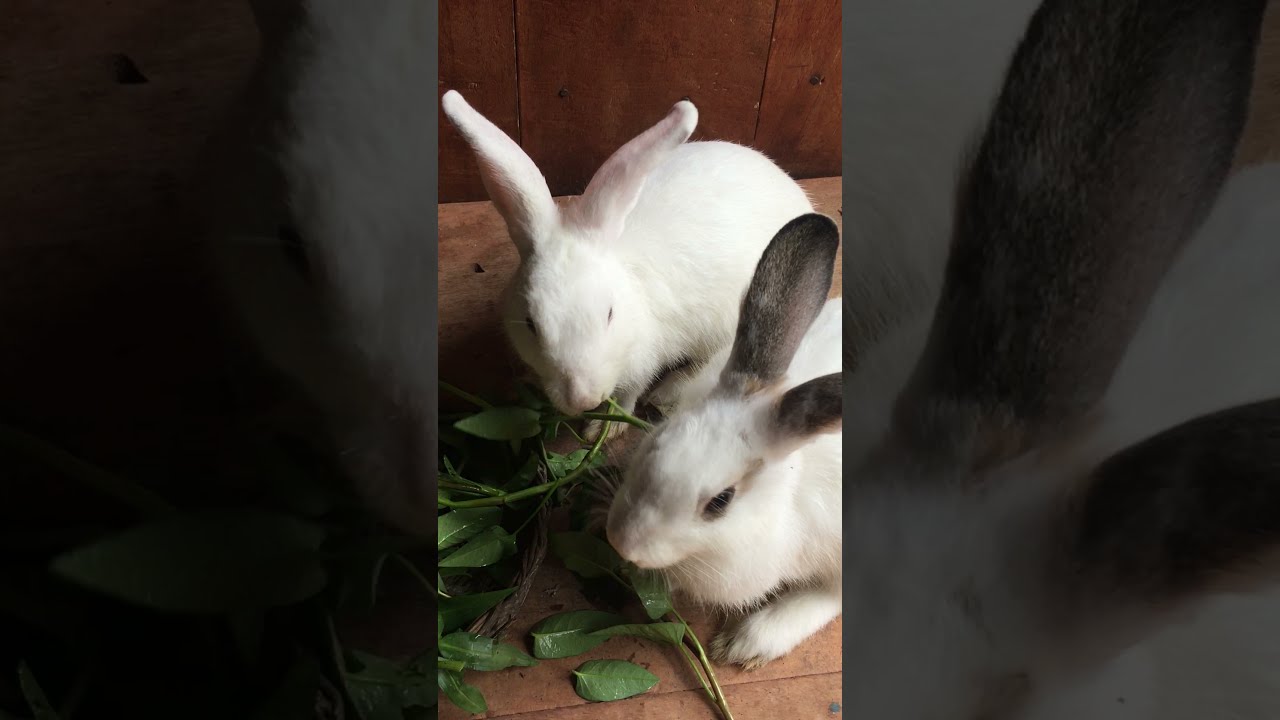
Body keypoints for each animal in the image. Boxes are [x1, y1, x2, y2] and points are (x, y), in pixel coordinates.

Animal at [440, 91, 814, 441]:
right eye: (531, 324)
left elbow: (630, 394)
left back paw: (667, 393)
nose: (582, 400)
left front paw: (604, 429)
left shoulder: (643, 360)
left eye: (609, 314)